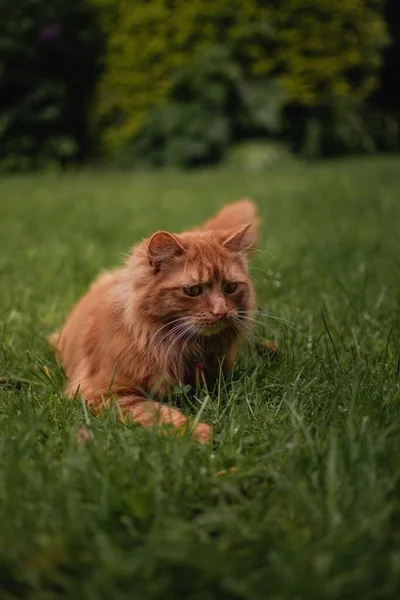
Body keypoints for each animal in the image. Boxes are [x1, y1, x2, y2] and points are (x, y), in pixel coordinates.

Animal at [49, 199, 260, 442]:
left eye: (230, 287)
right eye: (193, 290)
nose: (221, 312)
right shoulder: (105, 393)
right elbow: (160, 413)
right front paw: (199, 433)